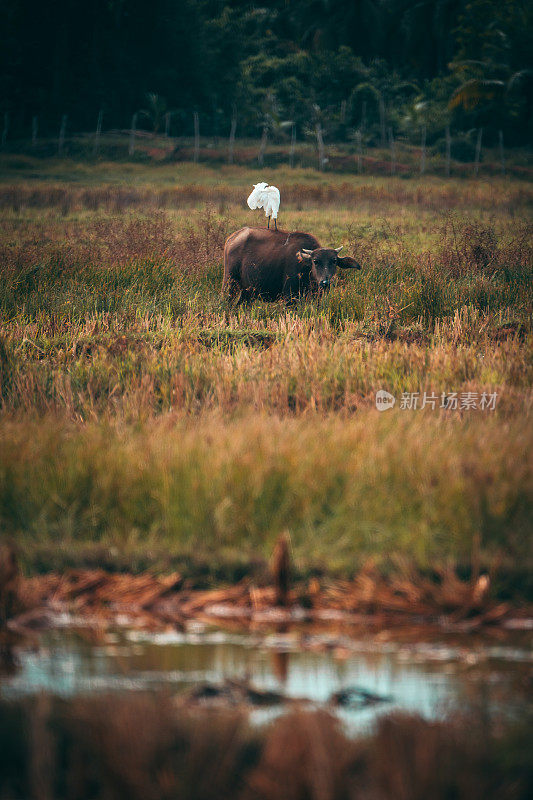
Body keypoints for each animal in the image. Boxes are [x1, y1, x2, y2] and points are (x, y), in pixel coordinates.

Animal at [222, 227, 360, 302]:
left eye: (334, 261)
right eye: (315, 261)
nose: (325, 283)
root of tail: (230, 239)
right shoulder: (289, 297)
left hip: (247, 291)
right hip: (229, 283)